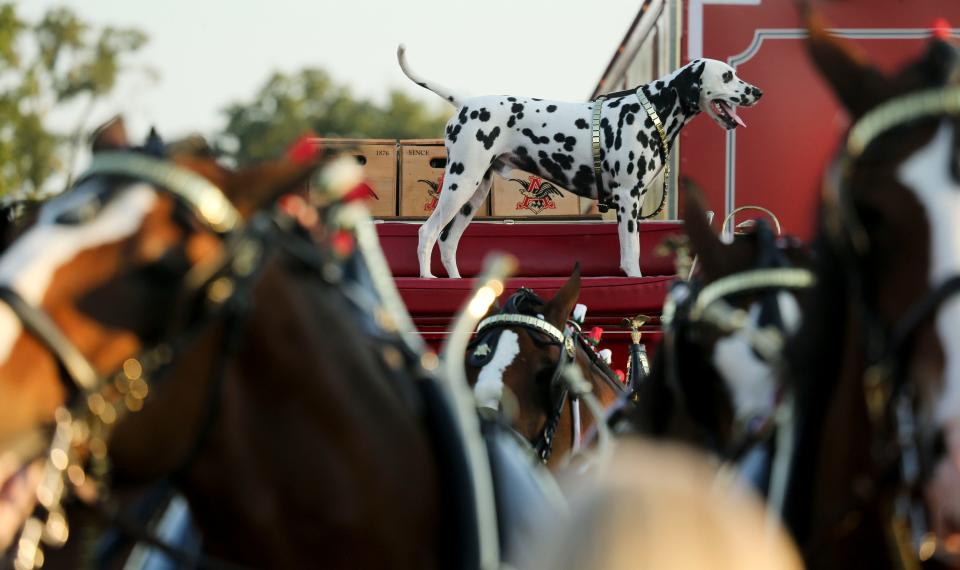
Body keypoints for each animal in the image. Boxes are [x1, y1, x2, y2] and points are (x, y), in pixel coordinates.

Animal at [396, 45, 756, 278]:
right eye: (727, 76)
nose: (757, 91)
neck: (650, 110)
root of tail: (466, 103)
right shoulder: (628, 201)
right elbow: (632, 259)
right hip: (460, 185)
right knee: (427, 233)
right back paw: (428, 280)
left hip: (473, 194)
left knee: (448, 242)